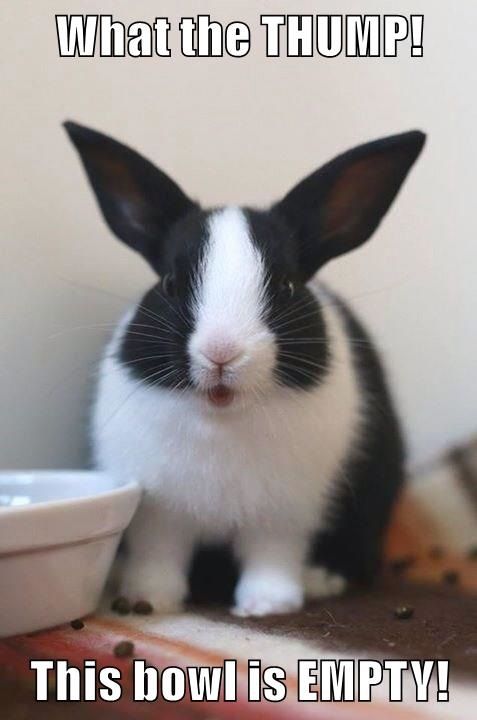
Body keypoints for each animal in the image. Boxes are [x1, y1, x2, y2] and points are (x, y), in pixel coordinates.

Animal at [64, 121, 424, 616]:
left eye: (287, 286)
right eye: (170, 284)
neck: (223, 418)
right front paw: (149, 599)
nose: (222, 352)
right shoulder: (160, 514)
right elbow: (160, 555)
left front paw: (267, 605)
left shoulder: (285, 515)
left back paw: (321, 580)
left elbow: (272, 555)